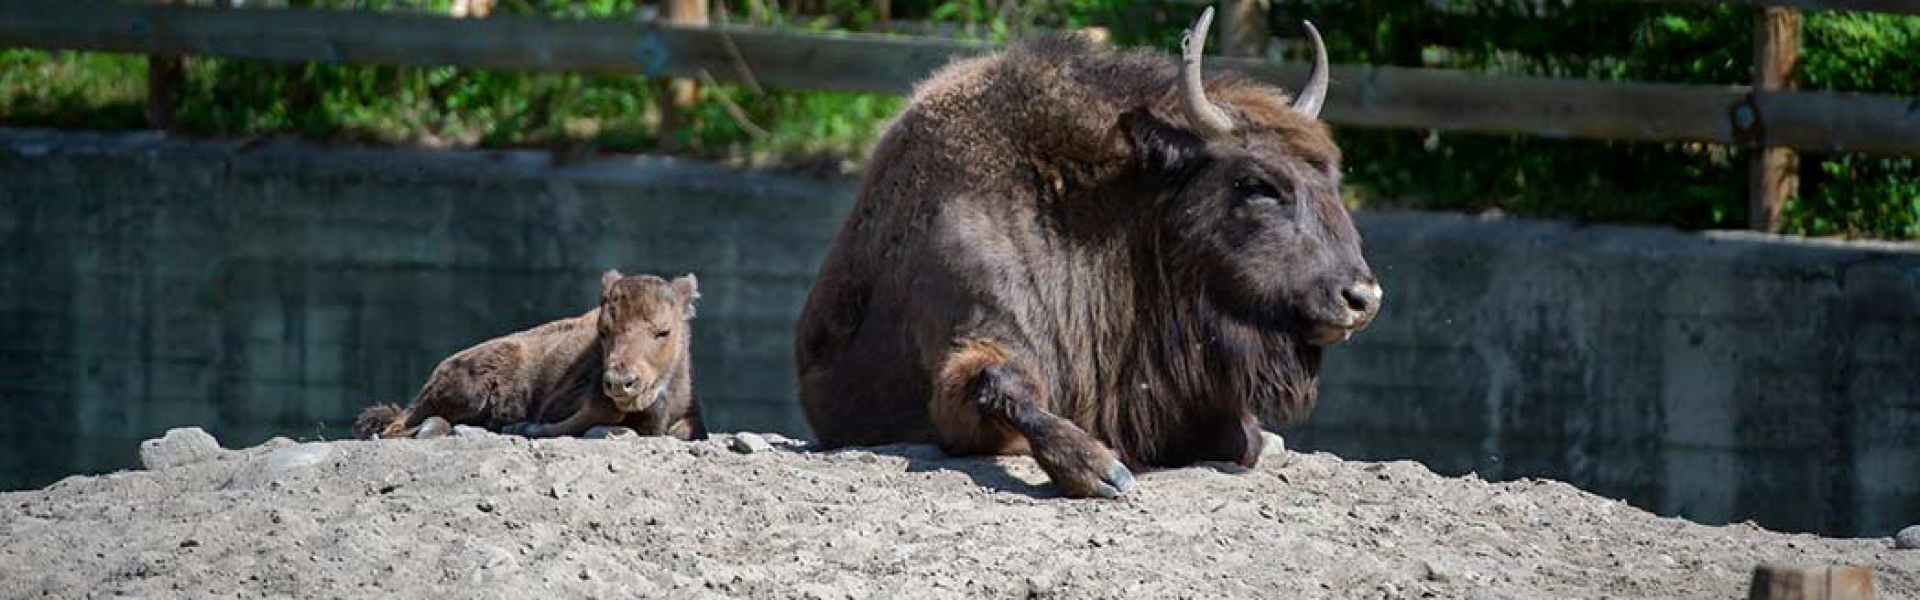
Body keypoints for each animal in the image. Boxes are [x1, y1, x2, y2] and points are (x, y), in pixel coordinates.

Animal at [355, 271, 706, 440]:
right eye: (603, 330)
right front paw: (523, 429)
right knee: (393, 429)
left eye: (663, 331)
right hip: (467, 393)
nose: (620, 382)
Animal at [791, 8, 1382, 496]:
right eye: (1258, 184)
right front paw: (1103, 471)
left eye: (1332, 176)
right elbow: (1002, 385)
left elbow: (1242, 439)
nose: (1362, 297)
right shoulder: (967, 356)